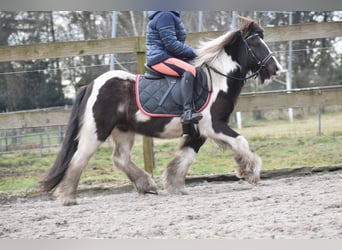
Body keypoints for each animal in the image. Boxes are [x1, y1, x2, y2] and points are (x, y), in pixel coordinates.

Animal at [41, 21, 284, 205]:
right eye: (255, 43)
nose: (277, 69)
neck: (217, 81)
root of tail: (91, 85)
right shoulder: (214, 126)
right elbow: (241, 141)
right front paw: (250, 172)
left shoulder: (198, 132)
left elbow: (185, 157)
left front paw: (175, 185)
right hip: (96, 131)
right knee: (78, 159)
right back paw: (68, 197)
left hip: (124, 131)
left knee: (121, 158)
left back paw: (147, 185)